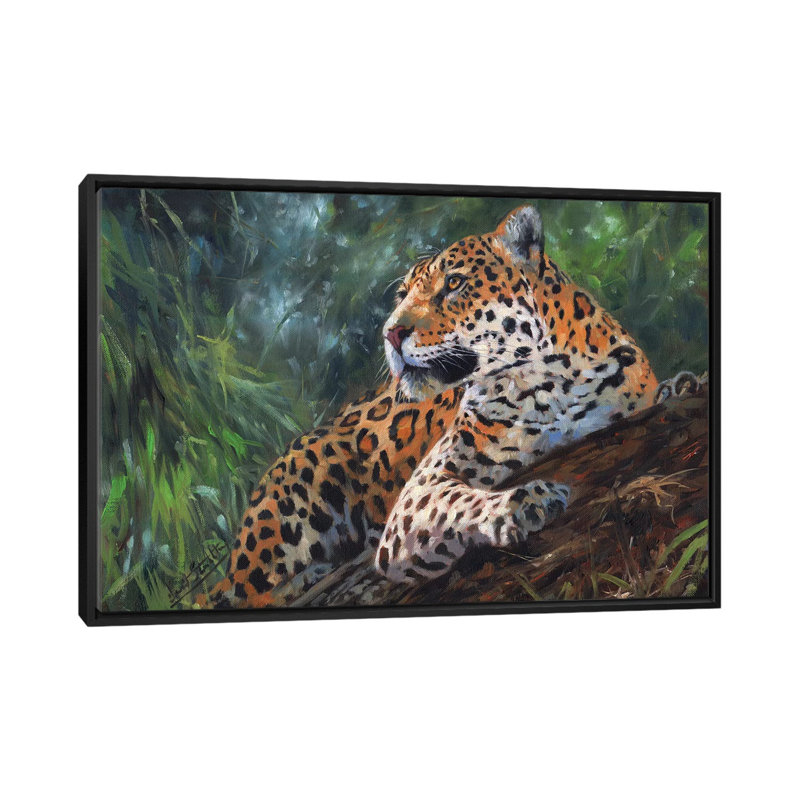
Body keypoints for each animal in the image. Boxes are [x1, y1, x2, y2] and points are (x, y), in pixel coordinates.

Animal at [202, 205, 661, 609]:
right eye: (403, 295)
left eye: (454, 283)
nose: (390, 333)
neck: (550, 383)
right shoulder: (419, 492)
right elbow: (458, 501)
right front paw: (524, 501)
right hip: (300, 494)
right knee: (253, 589)